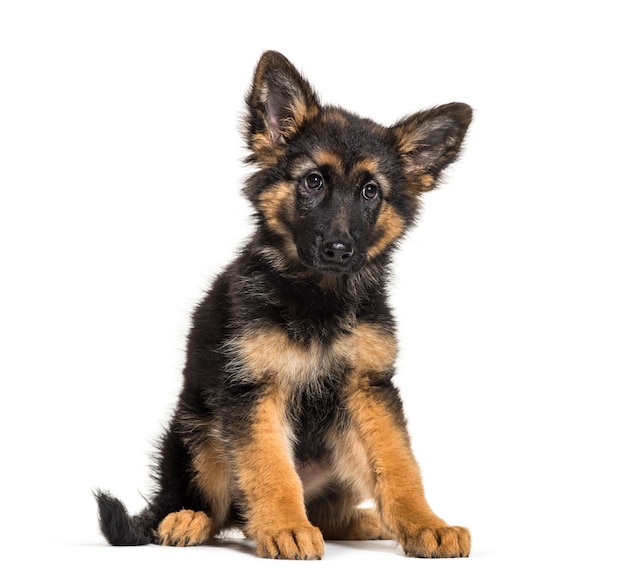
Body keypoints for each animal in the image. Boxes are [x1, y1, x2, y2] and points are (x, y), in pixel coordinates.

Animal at [95, 50, 470, 560]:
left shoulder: (368, 389)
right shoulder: (252, 391)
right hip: (198, 436)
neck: (318, 297)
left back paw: (363, 520)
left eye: (371, 191)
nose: (338, 250)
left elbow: (399, 463)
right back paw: (189, 520)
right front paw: (286, 527)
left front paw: (425, 523)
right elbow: (270, 467)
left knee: (327, 512)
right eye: (313, 182)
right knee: (207, 506)